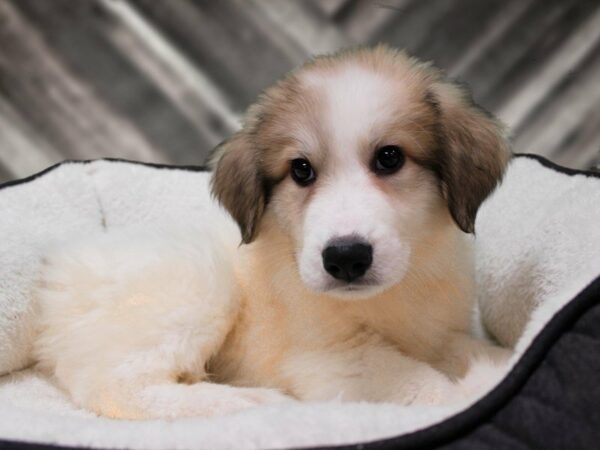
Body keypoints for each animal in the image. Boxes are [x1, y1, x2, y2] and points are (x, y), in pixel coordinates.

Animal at [32, 45, 510, 418]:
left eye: (390, 158)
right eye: (301, 170)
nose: (345, 258)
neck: (390, 296)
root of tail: (60, 272)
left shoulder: (438, 334)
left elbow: (467, 349)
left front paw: (497, 365)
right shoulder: (336, 358)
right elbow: (423, 386)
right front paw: (468, 392)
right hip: (198, 285)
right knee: (114, 387)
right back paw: (247, 403)